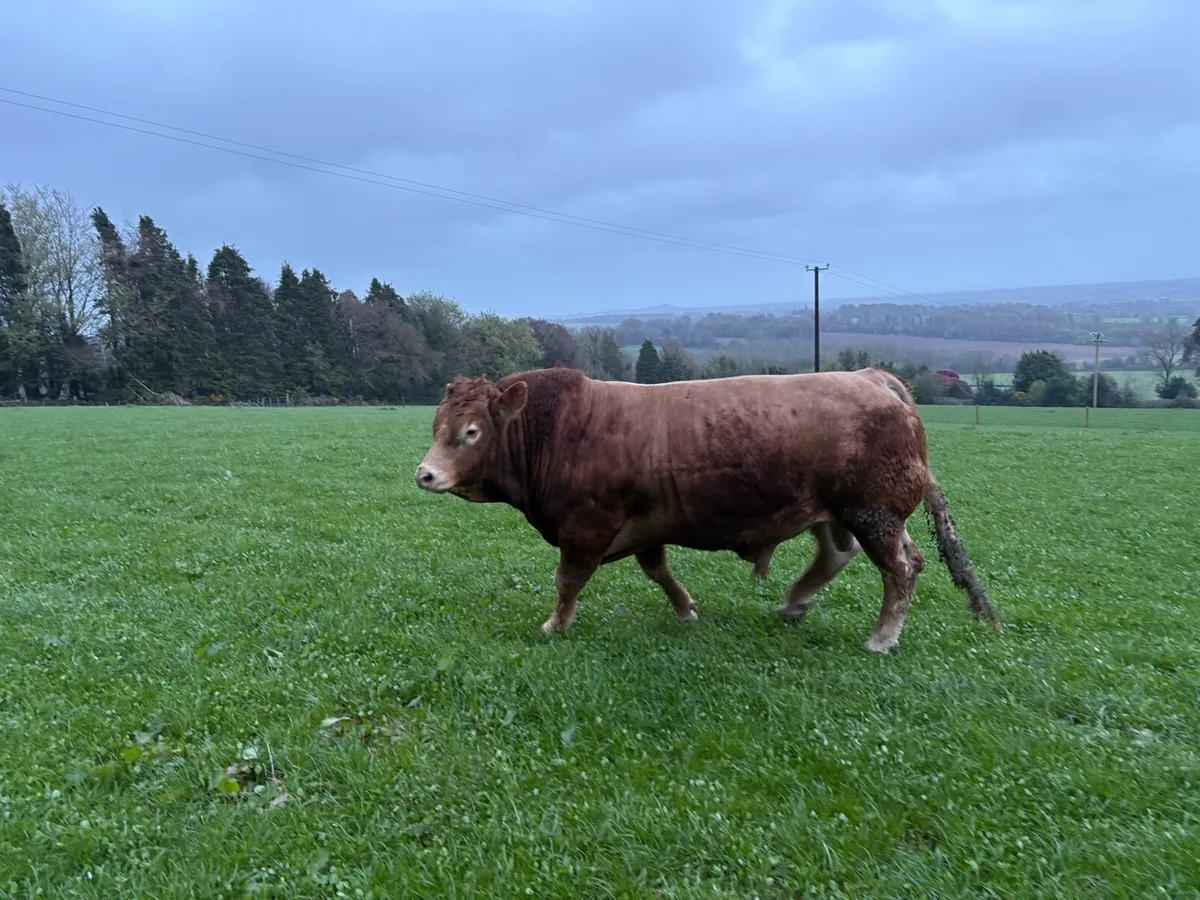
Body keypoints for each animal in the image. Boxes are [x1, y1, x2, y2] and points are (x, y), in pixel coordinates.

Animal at [414, 366, 1000, 653]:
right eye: (436, 424)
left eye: (471, 432)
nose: (425, 474)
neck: (558, 428)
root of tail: (871, 376)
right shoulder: (645, 524)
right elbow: (658, 569)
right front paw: (686, 609)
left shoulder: (586, 526)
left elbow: (568, 581)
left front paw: (555, 625)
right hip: (848, 512)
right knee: (845, 554)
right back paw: (794, 602)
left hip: (873, 511)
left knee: (900, 569)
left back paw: (881, 638)